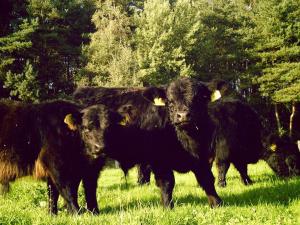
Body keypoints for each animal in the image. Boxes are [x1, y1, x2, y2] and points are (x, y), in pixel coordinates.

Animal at [73, 78, 221, 209]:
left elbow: (207, 179)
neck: (187, 141)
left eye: (198, 99)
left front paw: (217, 203)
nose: (183, 115)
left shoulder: (202, 157)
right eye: (170, 101)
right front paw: (168, 207)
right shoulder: (159, 160)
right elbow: (167, 183)